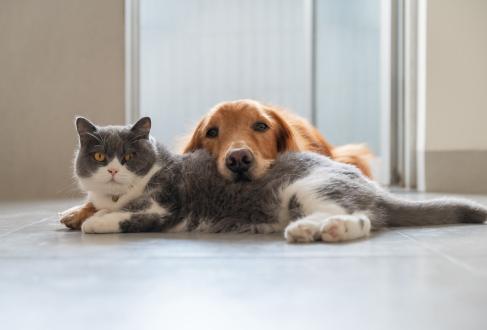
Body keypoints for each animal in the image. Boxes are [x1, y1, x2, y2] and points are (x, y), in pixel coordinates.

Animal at [67, 116, 487, 242]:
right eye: (100, 156)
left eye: (129, 156)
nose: (113, 169)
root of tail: (374, 189)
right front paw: (88, 212)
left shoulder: (165, 204)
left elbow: (131, 214)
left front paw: (96, 221)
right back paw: (307, 231)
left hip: (310, 187)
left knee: (362, 219)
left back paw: (330, 230)